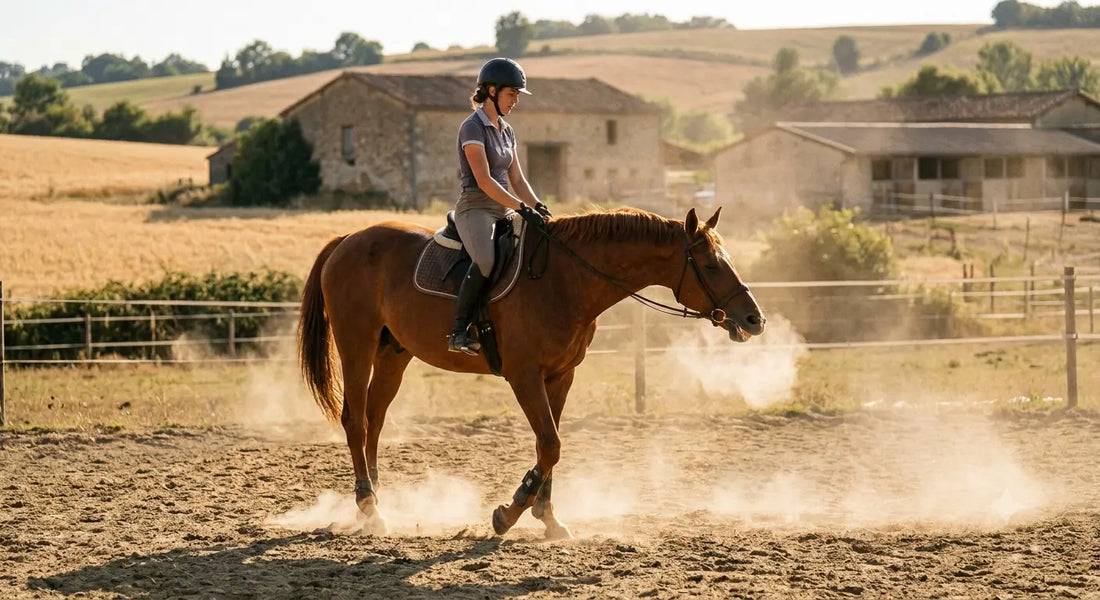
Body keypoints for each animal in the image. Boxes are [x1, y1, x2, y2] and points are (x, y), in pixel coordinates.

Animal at [297, 206, 766, 538]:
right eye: (711, 265)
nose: (754, 319)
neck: (566, 280)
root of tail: (348, 239)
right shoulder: (524, 377)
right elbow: (551, 444)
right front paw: (510, 512)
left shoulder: (560, 376)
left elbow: (551, 443)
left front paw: (548, 518)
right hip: (356, 345)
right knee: (356, 421)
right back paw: (370, 508)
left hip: (394, 353)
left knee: (374, 422)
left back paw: (375, 501)